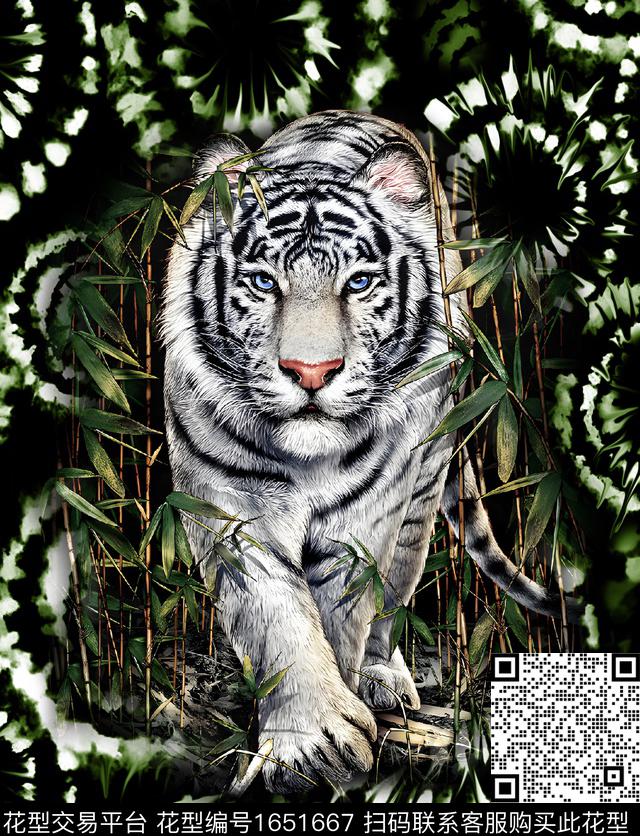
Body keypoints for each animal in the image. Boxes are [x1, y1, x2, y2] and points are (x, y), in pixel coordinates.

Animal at [162, 110, 583, 793]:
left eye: (358, 283)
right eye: (262, 282)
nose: (311, 372)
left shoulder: (365, 517)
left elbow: (343, 611)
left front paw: (332, 737)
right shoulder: (227, 503)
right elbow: (275, 617)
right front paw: (308, 742)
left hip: (422, 489)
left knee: (394, 592)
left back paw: (382, 680)